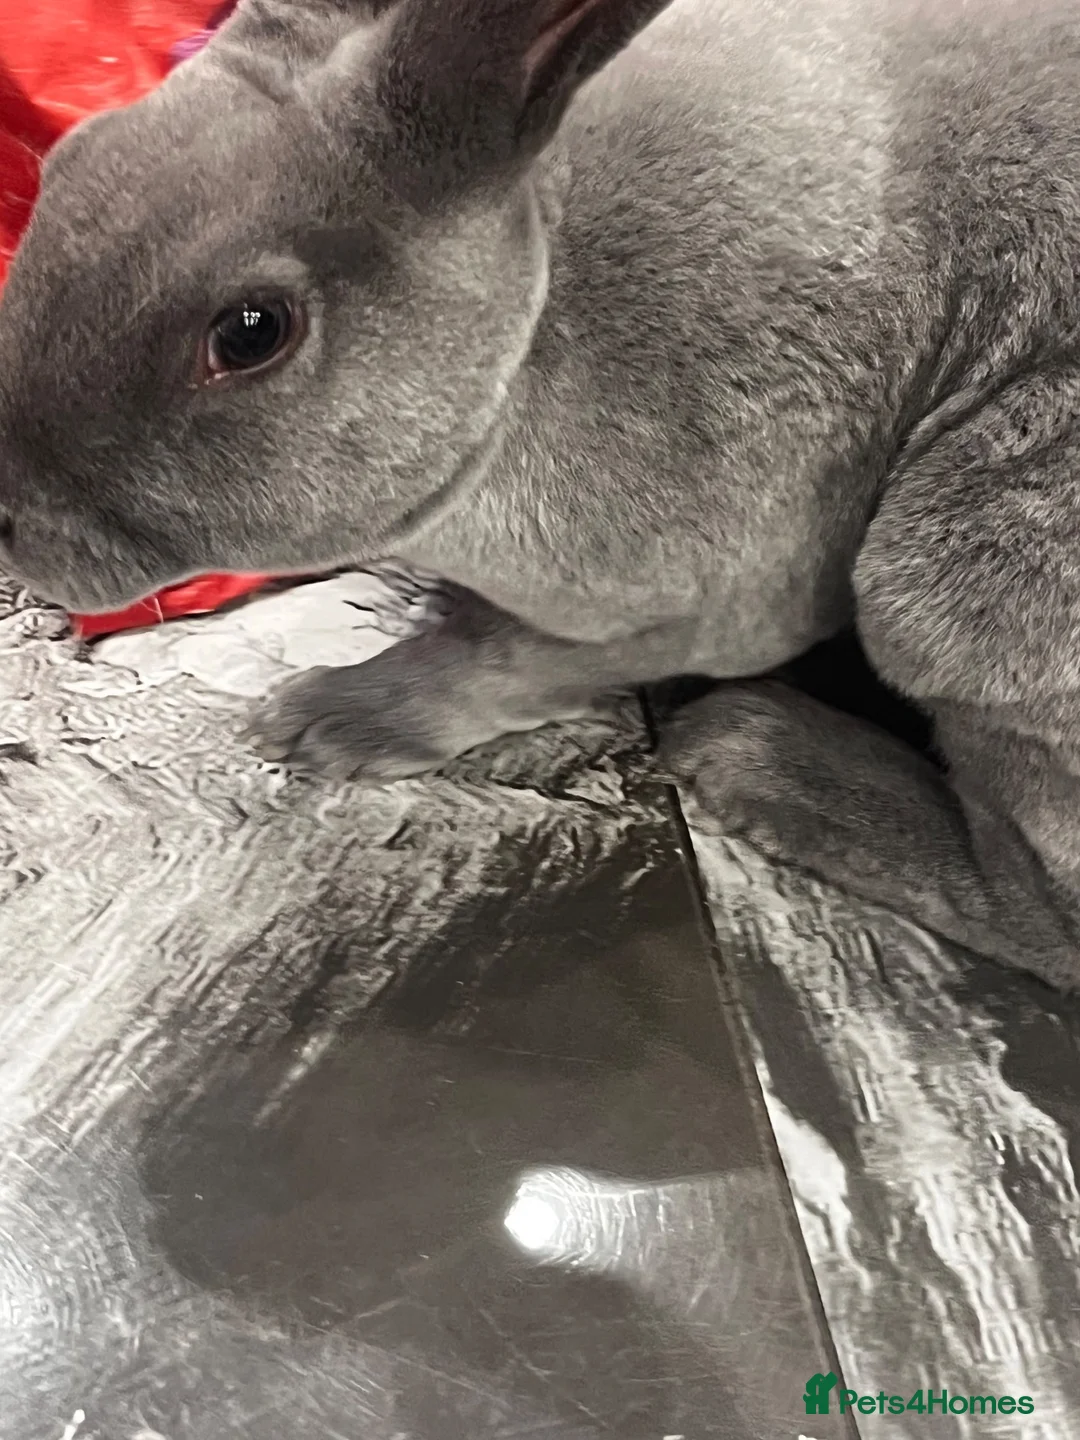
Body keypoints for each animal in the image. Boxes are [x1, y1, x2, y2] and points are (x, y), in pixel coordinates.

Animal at [2, 0, 1080, 988]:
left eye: (253, 330)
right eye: (71, 162)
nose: (7, 519)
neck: (530, 330)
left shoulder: (695, 608)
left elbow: (498, 666)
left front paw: (324, 724)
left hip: (952, 567)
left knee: (1039, 902)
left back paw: (751, 753)